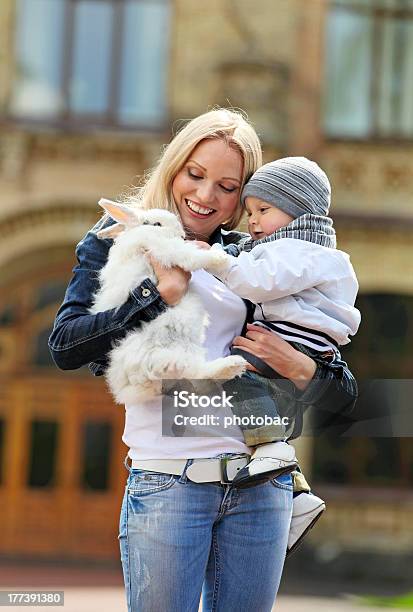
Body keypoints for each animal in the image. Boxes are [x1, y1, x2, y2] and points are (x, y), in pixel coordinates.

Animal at [89, 198, 245, 404]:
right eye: (156, 224)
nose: (181, 235)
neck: (140, 235)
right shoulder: (162, 248)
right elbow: (188, 255)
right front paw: (218, 257)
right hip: (168, 354)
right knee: (194, 370)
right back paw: (231, 365)